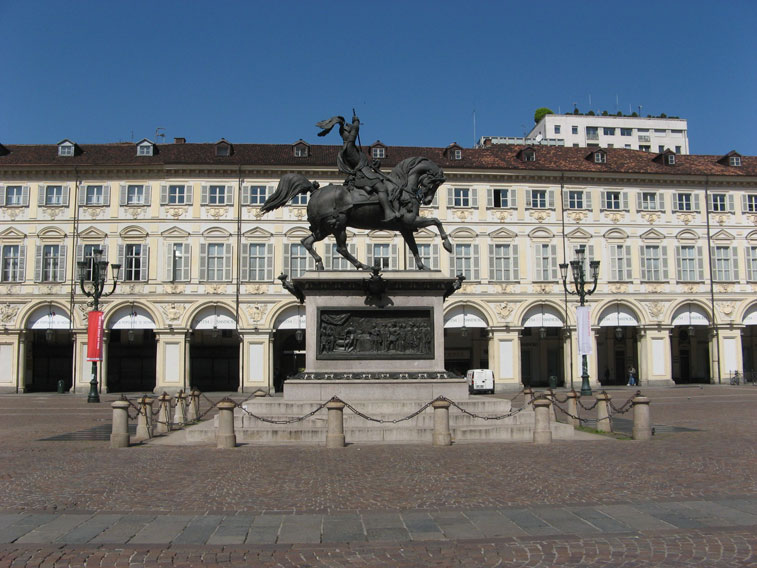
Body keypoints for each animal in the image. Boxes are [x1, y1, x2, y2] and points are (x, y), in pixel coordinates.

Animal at [262, 155, 448, 270]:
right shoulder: (409, 220)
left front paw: (423, 267)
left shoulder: (405, 227)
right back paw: (363, 266)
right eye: (434, 183)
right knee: (341, 248)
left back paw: (321, 265)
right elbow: (436, 222)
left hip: (325, 228)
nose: (427, 200)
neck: (402, 187)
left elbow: (414, 246)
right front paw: (448, 244)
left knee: (306, 241)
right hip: (338, 223)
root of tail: (315, 192)